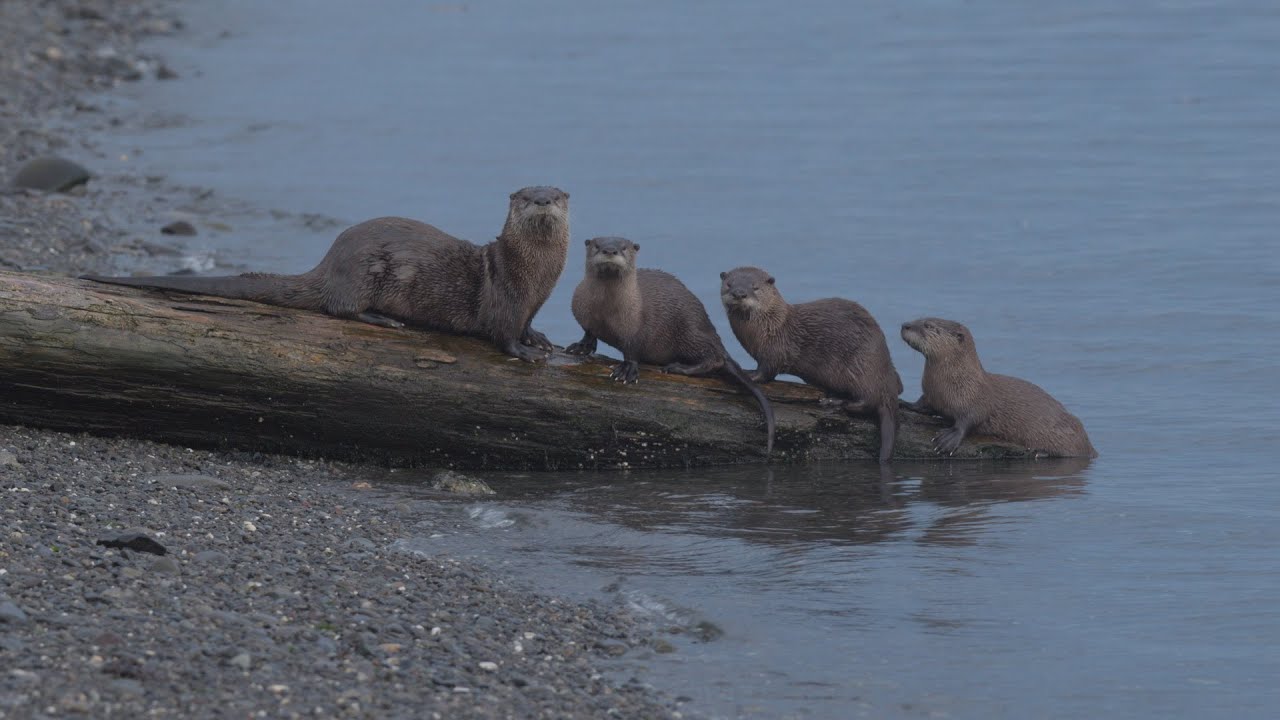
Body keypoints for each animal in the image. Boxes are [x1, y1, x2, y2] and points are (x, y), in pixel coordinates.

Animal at [82, 186, 570, 361]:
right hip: (364, 272)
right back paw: (383, 319)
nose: (543, 201)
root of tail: (329, 263)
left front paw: (540, 339)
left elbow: (527, 325)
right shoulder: (505, 297)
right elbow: (501, 333)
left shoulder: (533, 303)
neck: (535, 277)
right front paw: (524, 352)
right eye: (527, 197)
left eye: (557, 195)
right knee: (340, 308)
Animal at [564, 237, 775, 455]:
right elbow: (588, 332)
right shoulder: (583, 313)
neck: (604, 313)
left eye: (624, 247)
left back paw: (679, 368)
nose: (609, 250)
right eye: (597, 245)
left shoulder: (636, 326)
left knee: (714, 359)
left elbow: (632, 350)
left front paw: (626, 370)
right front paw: (581, 346)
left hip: (690, 332)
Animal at [719, 267, 903, 463]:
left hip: (861, 367)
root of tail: (886, 381)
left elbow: (767, 371)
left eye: (755, 287)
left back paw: (834, 402)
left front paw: (749, 374)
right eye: (729, 284)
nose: (739, 293)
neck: (768, 327)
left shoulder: (775, 350)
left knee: (868, 400)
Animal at [900, 317, 1097, 458]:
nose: (905, 325)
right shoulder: (931, 394)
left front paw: (949, 438)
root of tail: (1090, 446)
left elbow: (970, 418)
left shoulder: (975, 397)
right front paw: (904, 403)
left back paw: (1040, 452)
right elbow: (923, 404)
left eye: (928, 325)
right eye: (919, 317)